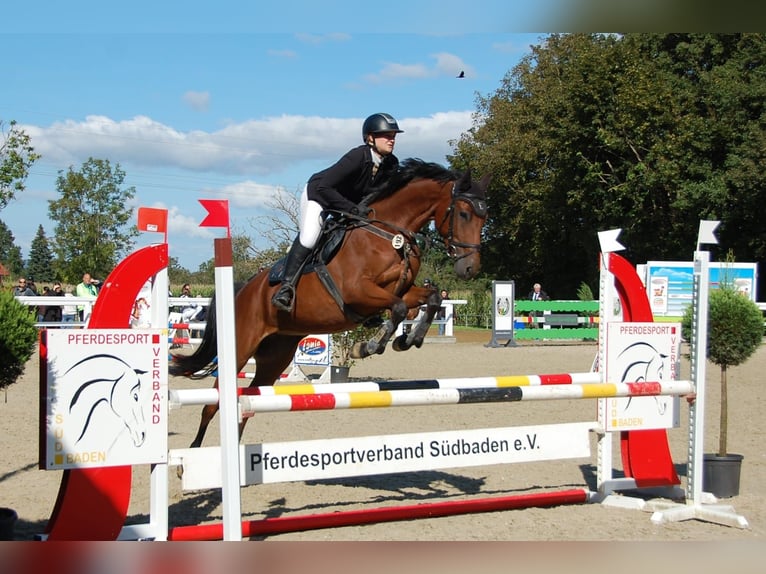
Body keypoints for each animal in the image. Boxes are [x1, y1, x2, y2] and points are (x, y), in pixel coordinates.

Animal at [171, 159, 488, 450]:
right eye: (463, 214)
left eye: (484, 220)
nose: (470, 269)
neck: (390, 235)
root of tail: (242, 290)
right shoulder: (357, 292)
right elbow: (397, 309)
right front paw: (368, 346)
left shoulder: (405, 290)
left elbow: (430, 299)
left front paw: (408, 340)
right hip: (241, 347)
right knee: (213, 403)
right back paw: (194, 455)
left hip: (275, 356)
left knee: (248, 401)